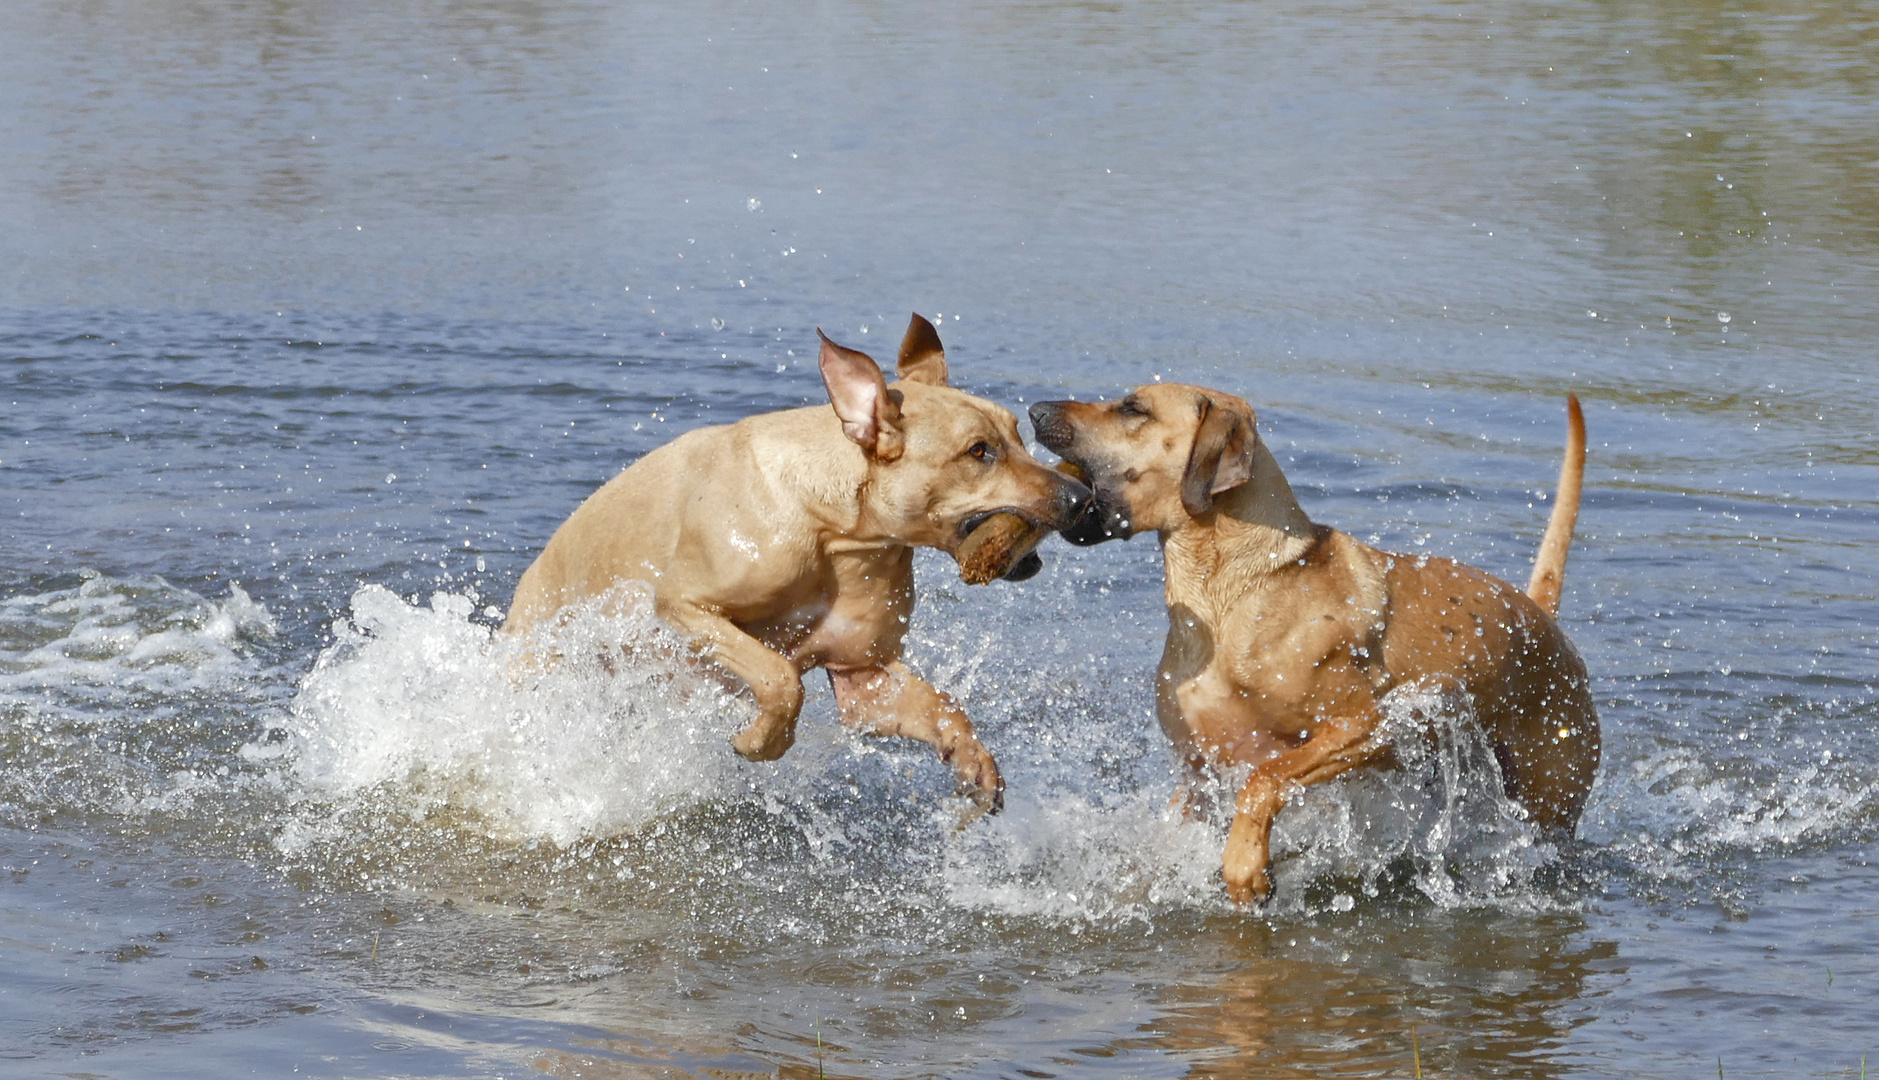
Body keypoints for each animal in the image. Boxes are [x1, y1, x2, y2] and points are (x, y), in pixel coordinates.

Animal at [507, 317, 1097, 815]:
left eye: (1018, 433)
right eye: (979, 452)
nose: (1082, 496)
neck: (837, 533)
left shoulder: (866, 678)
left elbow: (946, 708)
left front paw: (975, 762)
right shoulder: (685, 607)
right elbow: (782, 677)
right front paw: (760, 742)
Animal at [1029, 388, 1600, 905]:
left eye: (1133, 408)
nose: (1034, 410)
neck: (1230, 591)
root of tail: (1540, 614)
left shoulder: (1367, 724)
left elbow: (1265, 778)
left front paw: (1246, 866)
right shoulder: (1199, 773)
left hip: (1551, 795)